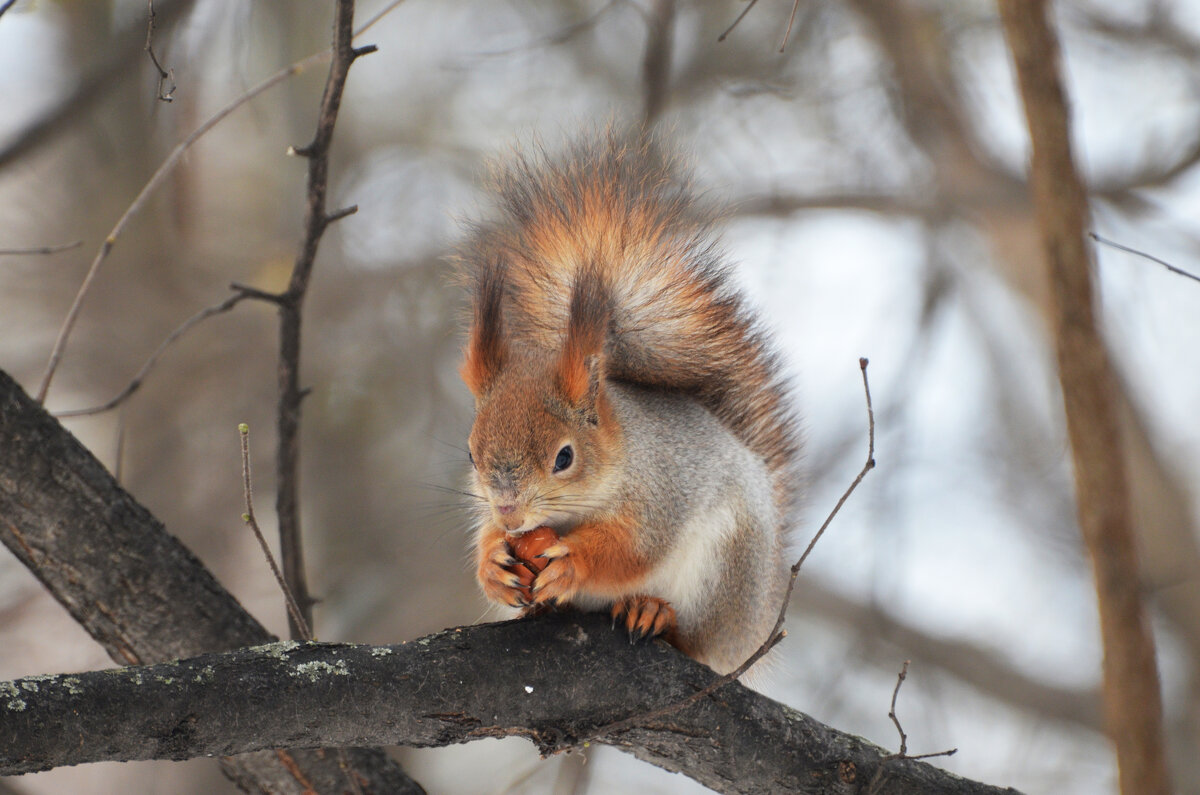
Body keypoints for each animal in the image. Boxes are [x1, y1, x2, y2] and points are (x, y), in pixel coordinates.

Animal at [458, 132, 806, 677]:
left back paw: (653, 613)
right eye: (471, 455)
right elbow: (485, 538)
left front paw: (572, 563)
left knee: (694, 640)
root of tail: (754, 626)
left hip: (725, 572)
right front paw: (493, 560)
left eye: (564, 457)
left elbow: (632, 549)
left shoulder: (660, 492)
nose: (512, 516)